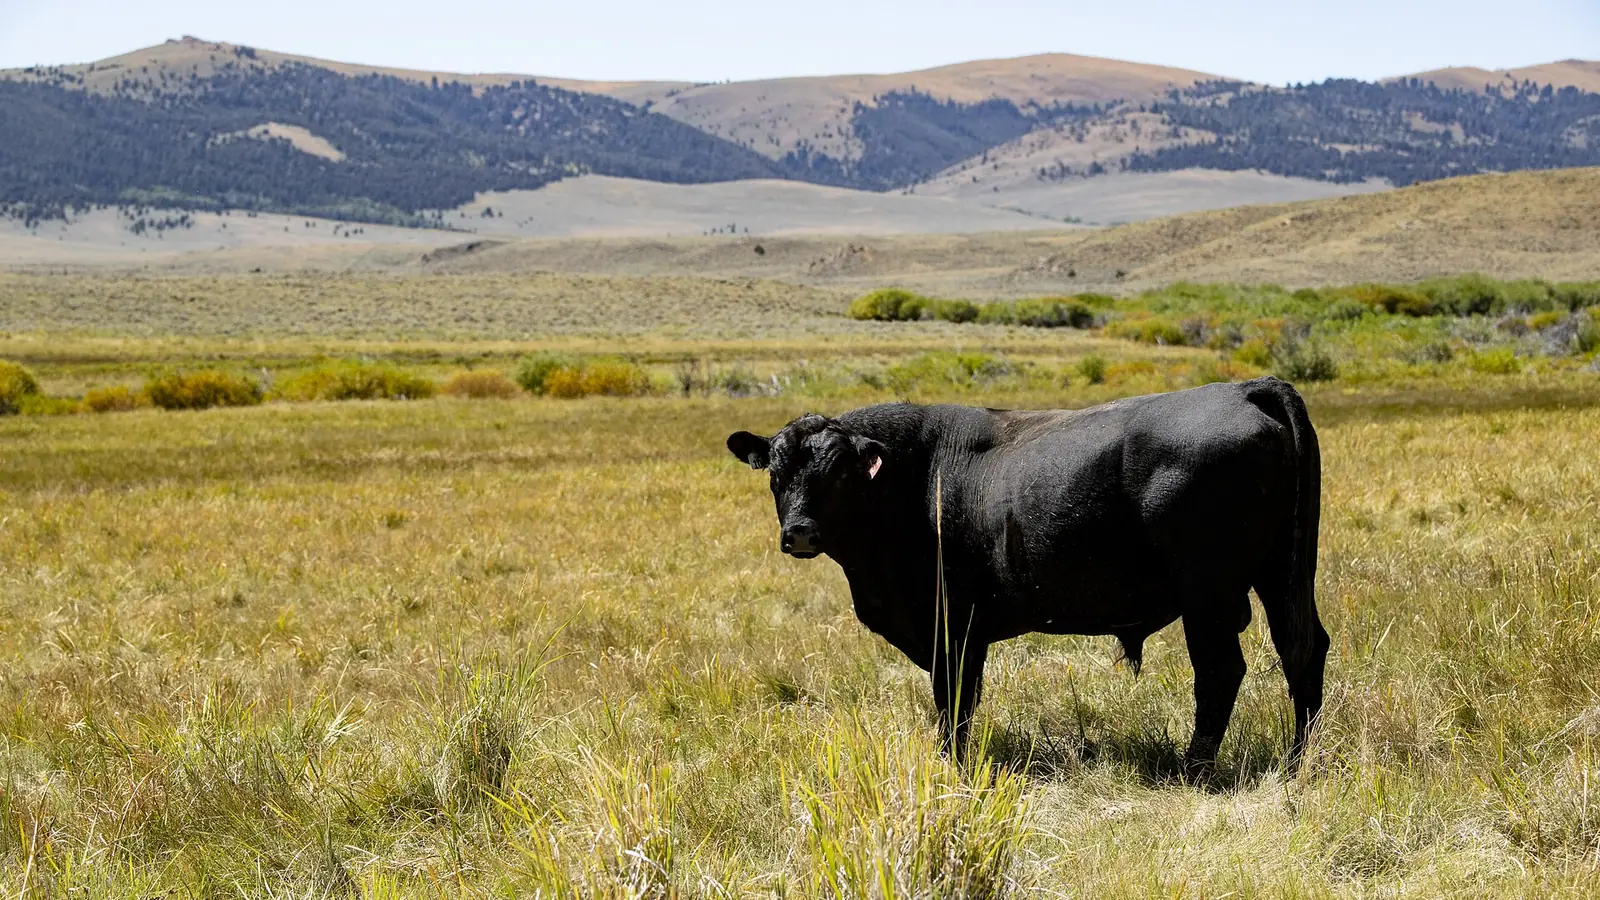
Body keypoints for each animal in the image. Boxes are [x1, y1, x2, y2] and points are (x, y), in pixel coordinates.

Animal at [726, 376, 1329, 773]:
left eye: (839, 473)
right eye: (775, 473)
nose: (800, 532)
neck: (913, 479)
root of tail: (1242, 389)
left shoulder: (952, 629)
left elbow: (953, 704)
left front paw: (951, 769)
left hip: (1208, 595)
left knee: (1222, 671)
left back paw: (1194, 769)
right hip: (1282, 576)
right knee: (1302, 650)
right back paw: (1298, 762)